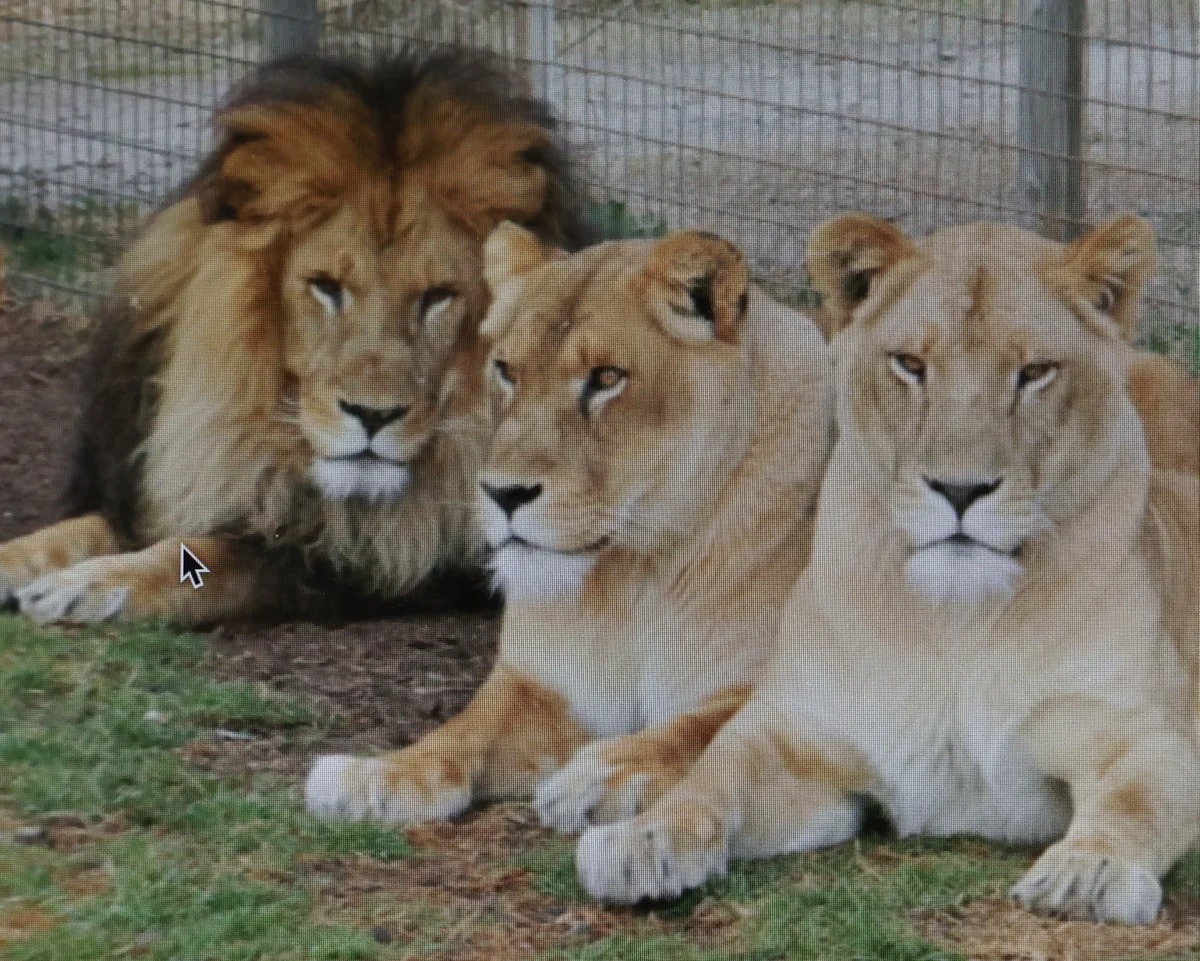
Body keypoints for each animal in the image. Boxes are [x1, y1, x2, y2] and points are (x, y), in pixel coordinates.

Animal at [0, 49, 592, 626]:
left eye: (437, 296)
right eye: (325, 287)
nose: (373, 416)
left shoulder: (362, 560)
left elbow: (207, 557)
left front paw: (85, 585)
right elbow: (74, 532)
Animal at [304, 223, 835, 827]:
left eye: (606, 377)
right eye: (507, 371)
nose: (504, 494)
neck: (631, 577)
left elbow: (700, 725)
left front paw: (601, 774)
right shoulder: (542, 681)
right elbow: (464, 730)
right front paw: (371, 778)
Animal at [577, 214, 1200, 926]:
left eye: (1036, 372)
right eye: (911, 365)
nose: (960, 490)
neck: (953, 623)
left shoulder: (1144, 737)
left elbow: (1135, 801)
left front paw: (1089, 872)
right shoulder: (797, 735)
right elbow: (710, 780)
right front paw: (638, 842)